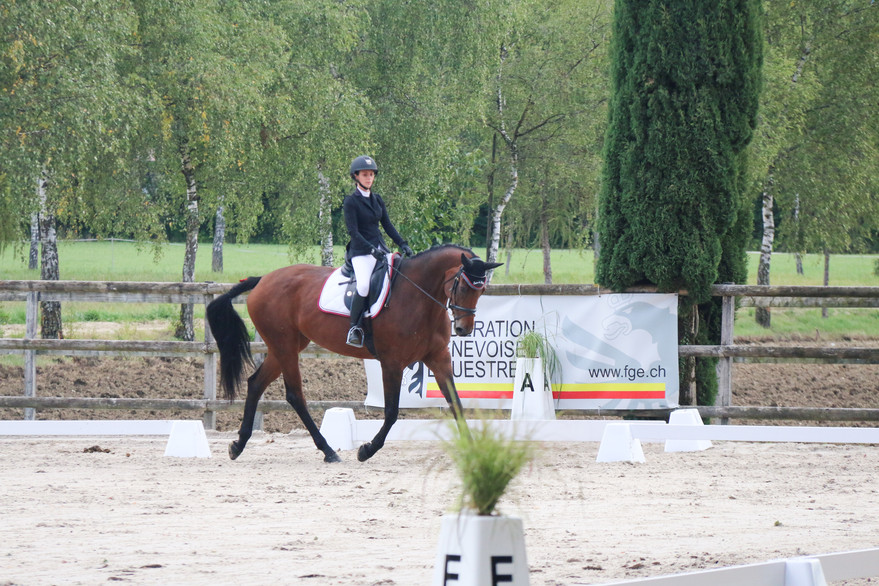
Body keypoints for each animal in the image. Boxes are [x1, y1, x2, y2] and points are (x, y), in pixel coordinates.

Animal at [206, 244, 502, 463]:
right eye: (462, 286)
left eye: (482, 290)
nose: (463, 329)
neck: (419, 298)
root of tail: (262, 280)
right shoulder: (392, 363)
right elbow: (391, 412)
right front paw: (366, 450)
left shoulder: (438, 358)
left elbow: (456, 404)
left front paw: (473, 449)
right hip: (285, 346)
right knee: (294, 395)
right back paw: (328, 451)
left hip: (286, 346)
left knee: (256, 383)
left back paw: (239, 444)